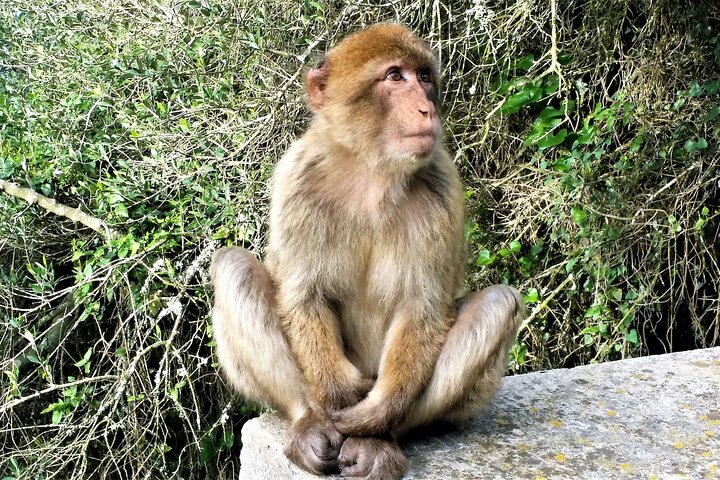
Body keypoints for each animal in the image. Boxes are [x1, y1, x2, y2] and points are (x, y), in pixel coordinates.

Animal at [210, 24, 525, 480]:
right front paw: (338, 395)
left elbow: (422, 309)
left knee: (499, 302)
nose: (426, 110)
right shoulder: (296, 182)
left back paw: (376, 436)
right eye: (394, 77)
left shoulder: (444, 188)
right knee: (232, 266)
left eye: (423, 77)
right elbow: (304, 297)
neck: (372, 172)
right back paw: (309, 420)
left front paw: (374, 416)